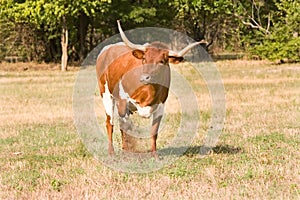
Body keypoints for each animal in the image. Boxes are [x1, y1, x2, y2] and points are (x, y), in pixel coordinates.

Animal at [95, 20, 200, 158]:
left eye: (161, 61)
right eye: (144, 59)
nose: (144, 77)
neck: (149, 91)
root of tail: (107, 49)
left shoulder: (160, 106)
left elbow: (154, 131)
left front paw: (154, 155)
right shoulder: (123, 102)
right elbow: (124, 126)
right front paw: (126, 152)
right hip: (106, 94)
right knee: (110, 123)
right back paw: (112, 152)